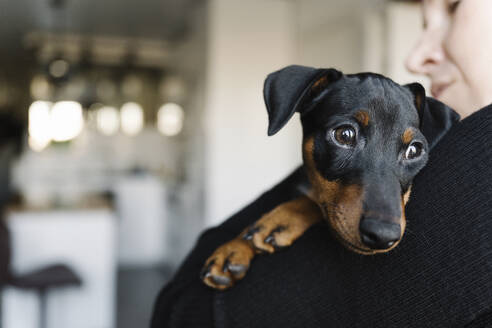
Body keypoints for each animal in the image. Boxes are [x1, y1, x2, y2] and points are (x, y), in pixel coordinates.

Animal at [199, 64, 458, 290]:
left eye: (415, 150)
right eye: (344, 135)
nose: (382, 235)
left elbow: (315, 205)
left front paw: (279, 221)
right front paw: (234, 248)